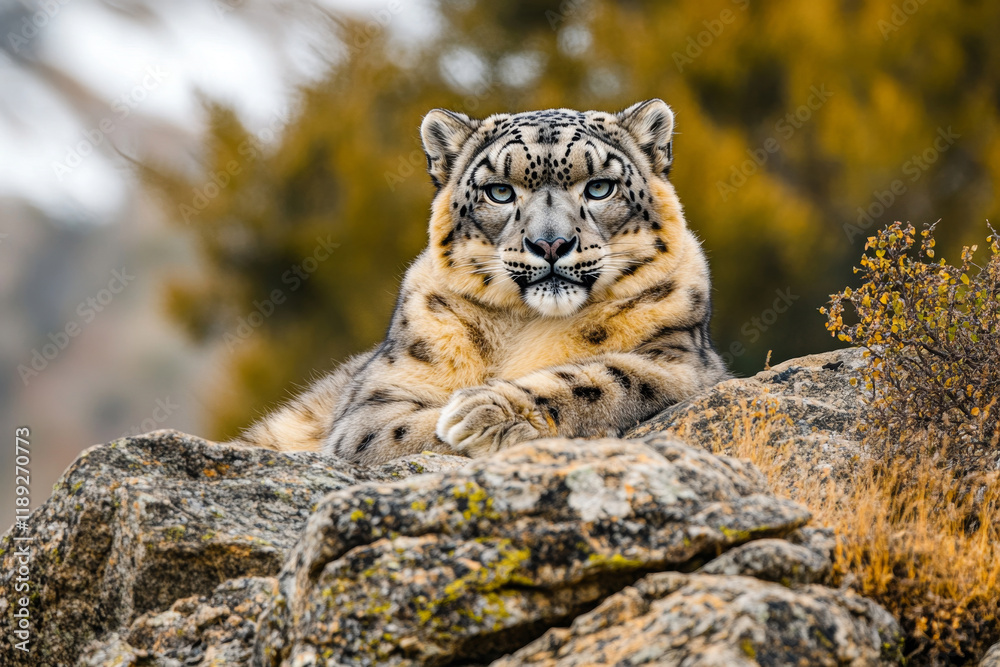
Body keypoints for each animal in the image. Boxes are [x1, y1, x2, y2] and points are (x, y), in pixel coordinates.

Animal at [233, 99, 729, 463]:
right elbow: (394, 432)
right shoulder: (378, 398)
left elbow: (607, 377)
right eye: (500, 192)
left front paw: (482, 412)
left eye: (599, 187)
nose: (551, 243)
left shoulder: (681, 362)